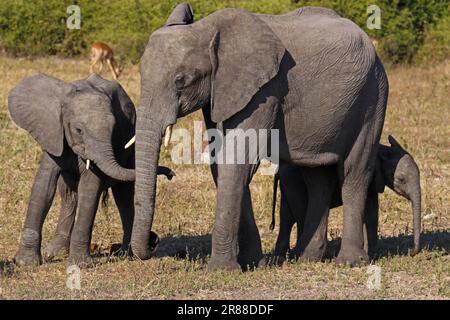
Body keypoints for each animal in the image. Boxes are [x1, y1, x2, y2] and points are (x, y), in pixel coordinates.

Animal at [9, 74, 174, 266]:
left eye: (113, 130)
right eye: (78, 130)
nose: (171, 174)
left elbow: (90, 189)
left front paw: (80, 265)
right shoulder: (54, 135)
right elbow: (44, 187)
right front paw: (25, 263)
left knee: (123, 195)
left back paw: (126, 254)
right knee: (68, 195)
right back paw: (56, 253)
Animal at [130, 5, 386, 270]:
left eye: (181, 80)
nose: (153, 241)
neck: (207, 30)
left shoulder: (265, 90)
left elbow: (237, 159)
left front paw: (221, 270)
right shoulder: (222, 91)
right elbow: (221, 164)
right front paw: (253, 264)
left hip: (372, 97)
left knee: (354, 173)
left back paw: (350, 262)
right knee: (318, 179)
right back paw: (306, 258)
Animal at [270, 135, 422, 262]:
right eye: (401, 179)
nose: (411, 252)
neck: (384, 150)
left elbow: (372, 212)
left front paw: (371, 254)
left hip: (287, 186)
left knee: (286, 218)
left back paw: (280, 256)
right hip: (294, 182)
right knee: (299, 214)